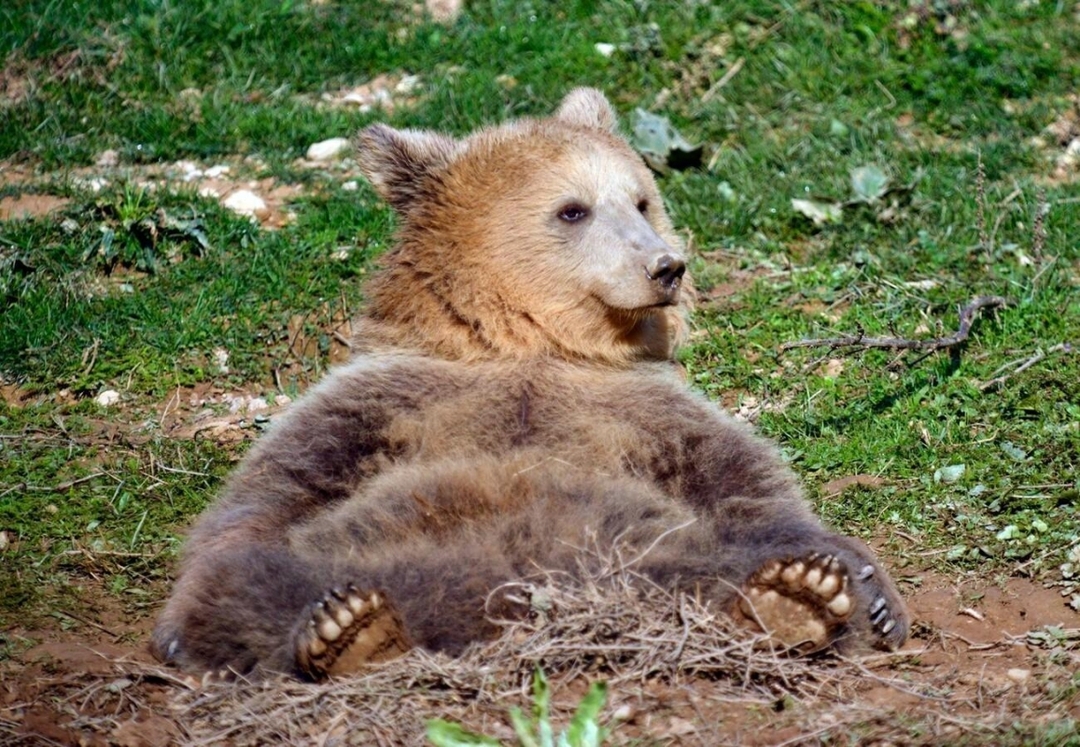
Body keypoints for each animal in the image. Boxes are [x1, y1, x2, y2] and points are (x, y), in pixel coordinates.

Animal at [151, 88, 909, 680]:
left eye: (641, 200)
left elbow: (747, 484)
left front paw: (865, 593)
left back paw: (795, 597)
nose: (667, 266)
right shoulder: (384, 396)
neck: (532, 343)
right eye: (573, 209)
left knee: (725, 558)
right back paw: (349, 629)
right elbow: (274, 494)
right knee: (255, 580)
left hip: (649, 547)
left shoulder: (647, 407)